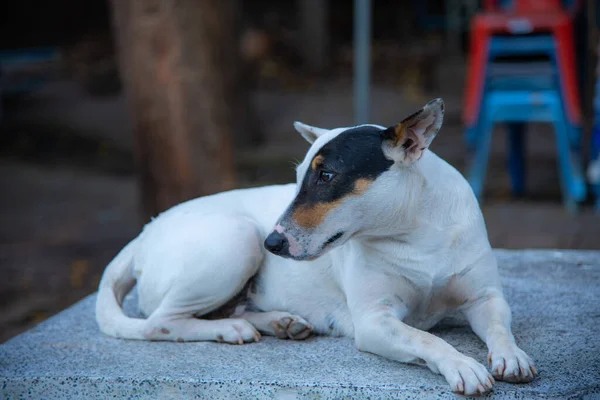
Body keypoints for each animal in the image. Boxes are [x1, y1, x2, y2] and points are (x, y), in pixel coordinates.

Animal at [96, 99, 536, 394]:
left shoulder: (484, 297)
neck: (416, 234)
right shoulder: (375, 321)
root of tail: (144, 233)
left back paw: (279, 322)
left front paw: (511, 356)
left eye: (326, 175)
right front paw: (462, 365)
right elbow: (425, 338)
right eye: (297, 178)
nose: (273, 242)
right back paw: (228, 329)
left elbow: (499, 325)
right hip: (236, 239)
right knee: (160, 323)